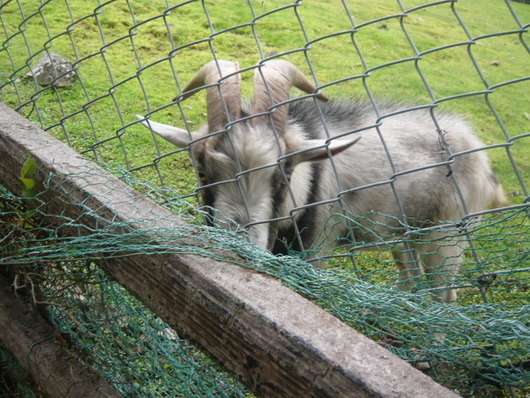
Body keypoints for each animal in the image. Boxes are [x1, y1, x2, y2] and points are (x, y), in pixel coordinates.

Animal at [136, 59, 504, 302]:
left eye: (284, 177)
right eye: (201, 172)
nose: (237, 247)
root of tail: (485, 165)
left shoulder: (315, 248)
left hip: (447, 235)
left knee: (444, 292)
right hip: (404, 231)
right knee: (412, 273)